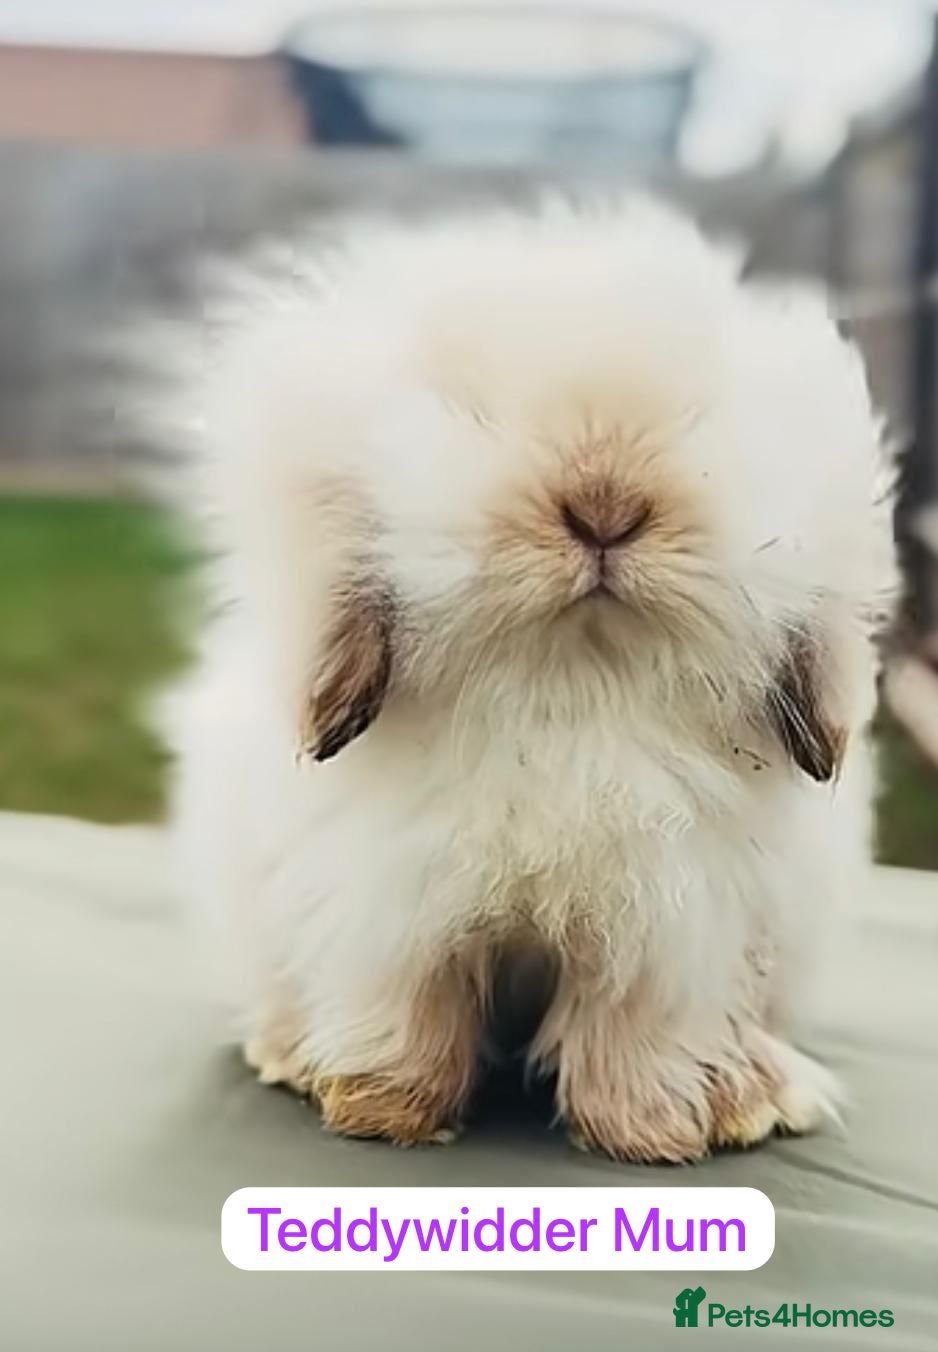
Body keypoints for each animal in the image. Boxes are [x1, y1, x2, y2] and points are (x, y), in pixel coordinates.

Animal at [168, 200, 895, 1161]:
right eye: (474, 415)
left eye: (700, 419)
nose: (604, 507)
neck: (573, 685)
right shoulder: (389, 909)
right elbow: (402, 1015)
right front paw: (383, 1111)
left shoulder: (673, 928)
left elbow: (636, 1036)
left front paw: (648, 1134)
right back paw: (290, 1056)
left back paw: (754, 1097)